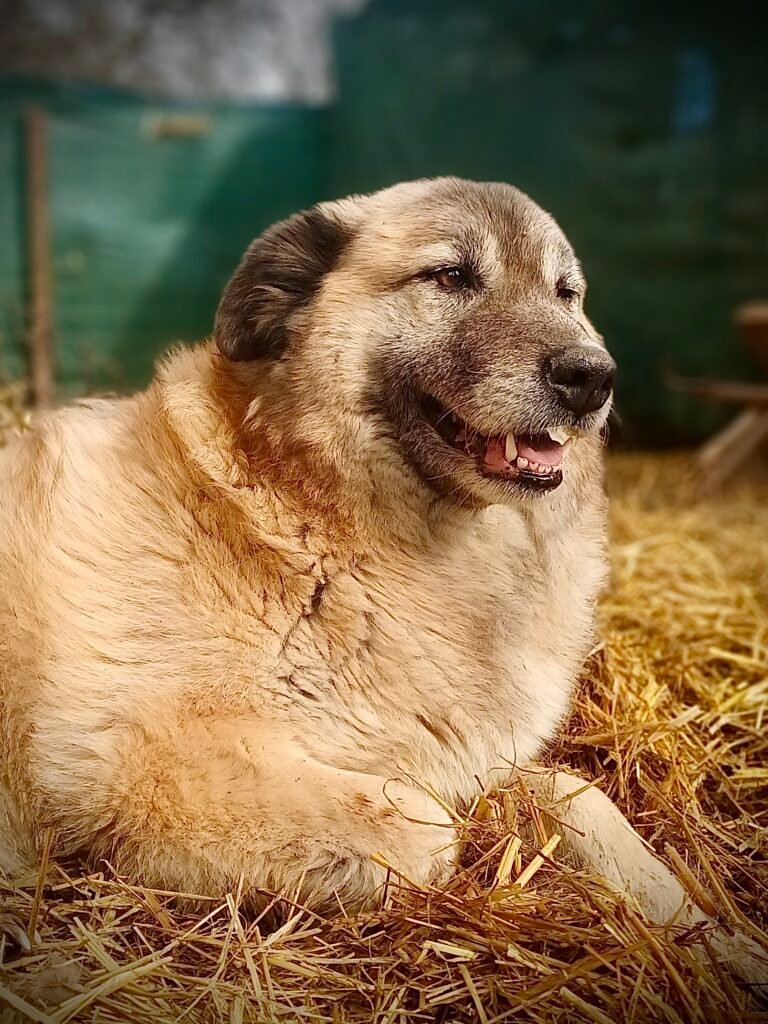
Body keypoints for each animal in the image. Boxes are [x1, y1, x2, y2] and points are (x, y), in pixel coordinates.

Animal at [0, 178, 763, 983]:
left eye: (566, 292)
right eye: (451, 276)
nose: (592, 377)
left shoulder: (470, 761)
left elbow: (579, 794)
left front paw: (720, 937)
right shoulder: (138, 763)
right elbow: (430, 832)